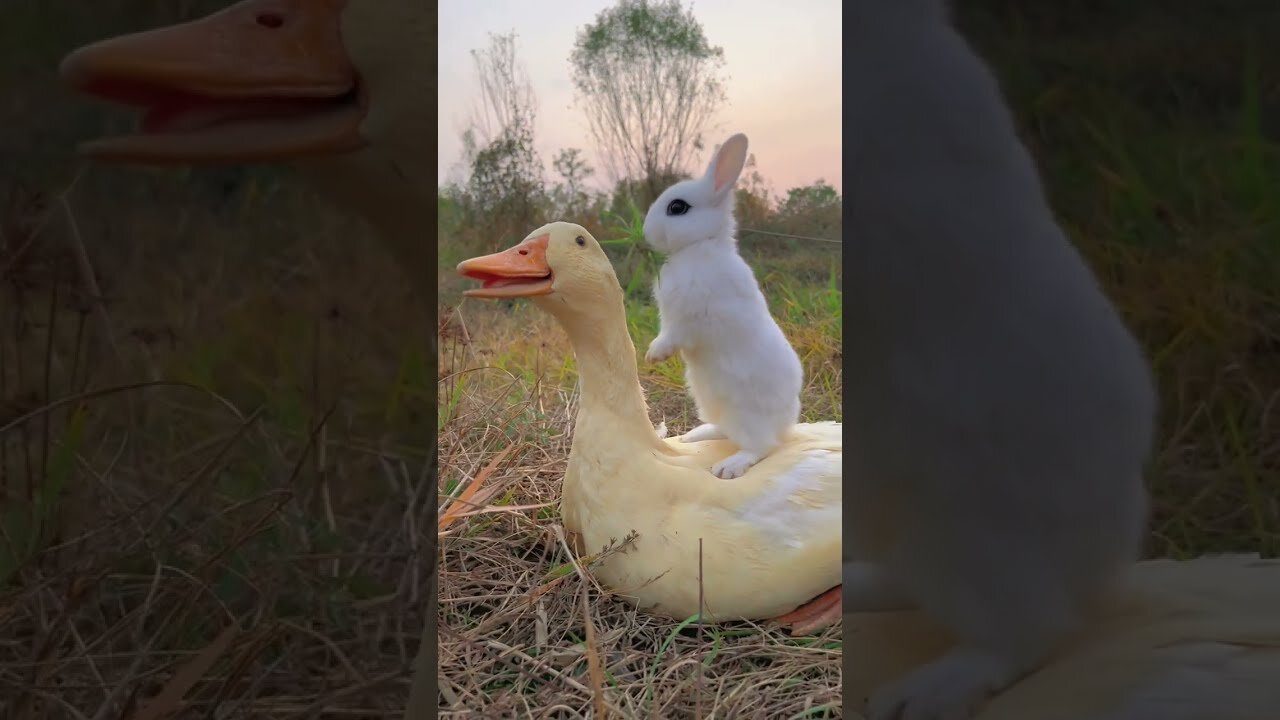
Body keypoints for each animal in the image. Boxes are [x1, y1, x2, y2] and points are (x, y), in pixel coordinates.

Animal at [645, 131, 803, 479]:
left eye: (677, 207)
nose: (646, 231)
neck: (699, 247)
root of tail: (786, 423)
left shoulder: (688, 318)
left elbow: (672, 335)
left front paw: (654, 354)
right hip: (711, 404)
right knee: (726, 430)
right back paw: (695, 435)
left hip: (745, 415)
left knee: (762, 447)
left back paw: (729, 466)